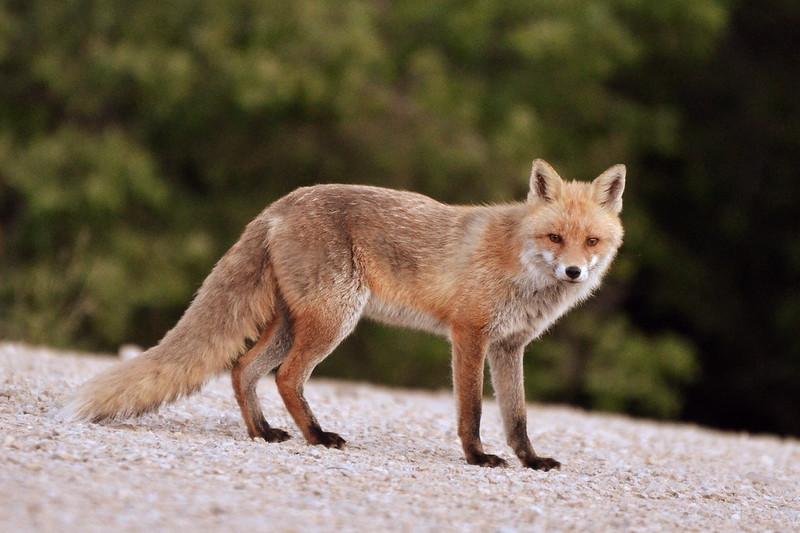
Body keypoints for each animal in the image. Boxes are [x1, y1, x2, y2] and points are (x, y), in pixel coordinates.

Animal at [63, 159, 625, 470]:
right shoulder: (469, 333)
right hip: (334, 319)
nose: (574, 271)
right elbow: (473, 411)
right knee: (285, 377)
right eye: (555, 236)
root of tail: (279, 204)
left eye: (591, 241)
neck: (518, 263)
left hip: (296, 322)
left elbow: (518, 417)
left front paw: (529, 461)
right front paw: (477, 457)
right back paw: (316, 436)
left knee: (242, 369)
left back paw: (263, 433)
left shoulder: (509, 346)